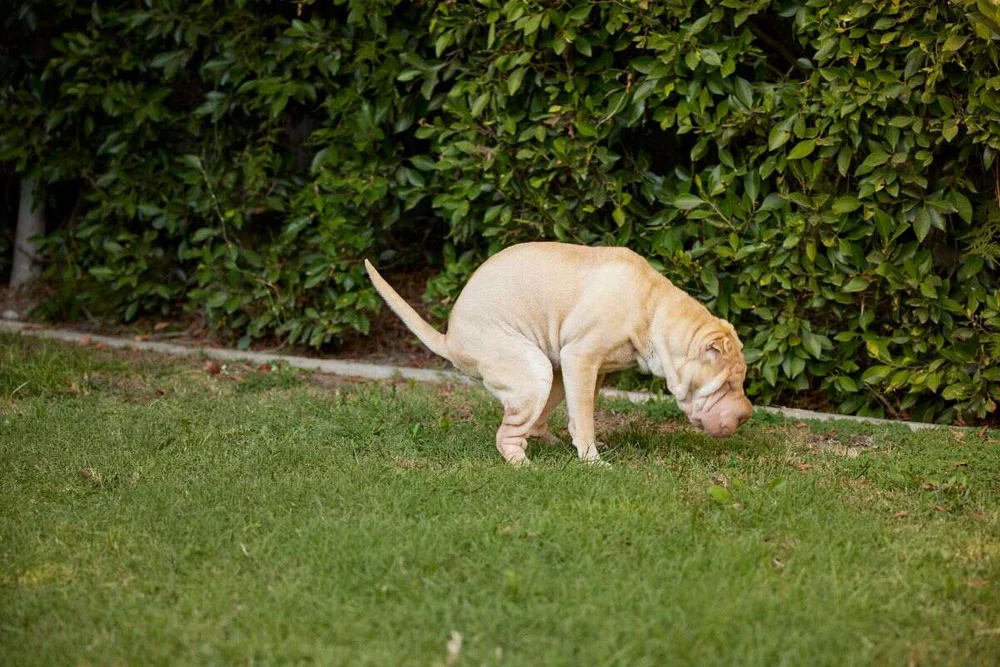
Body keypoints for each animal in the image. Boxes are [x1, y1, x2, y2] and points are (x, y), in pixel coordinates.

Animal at [365, 242, 752, 465]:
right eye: (727, 385)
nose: (747, 415)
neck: (653, 309)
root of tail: (450, 339)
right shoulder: (581, 357)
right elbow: (585, 417)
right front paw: (592, 461)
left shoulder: (592, 369)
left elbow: (581, 412)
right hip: (531, 370)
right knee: (508, 433)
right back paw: (521, 463)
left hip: (551, 371)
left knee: (536, 420)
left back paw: (547, 443)